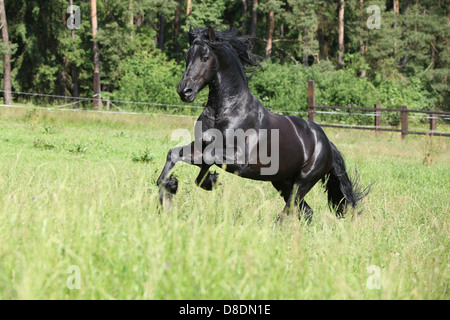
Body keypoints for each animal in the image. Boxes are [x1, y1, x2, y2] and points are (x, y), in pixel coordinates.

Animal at [156, 26, 368, 220]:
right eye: (187, 56)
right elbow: (174, 154)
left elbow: (207, 159)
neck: (225, 110)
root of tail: (326, 142)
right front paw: (170, 188)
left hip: (303, 181)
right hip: (282, 182)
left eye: (205, 57)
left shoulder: (239, 159)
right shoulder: (200, 146)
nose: (185, 91)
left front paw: (205, 181)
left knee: (289, 210)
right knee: (306, 211)